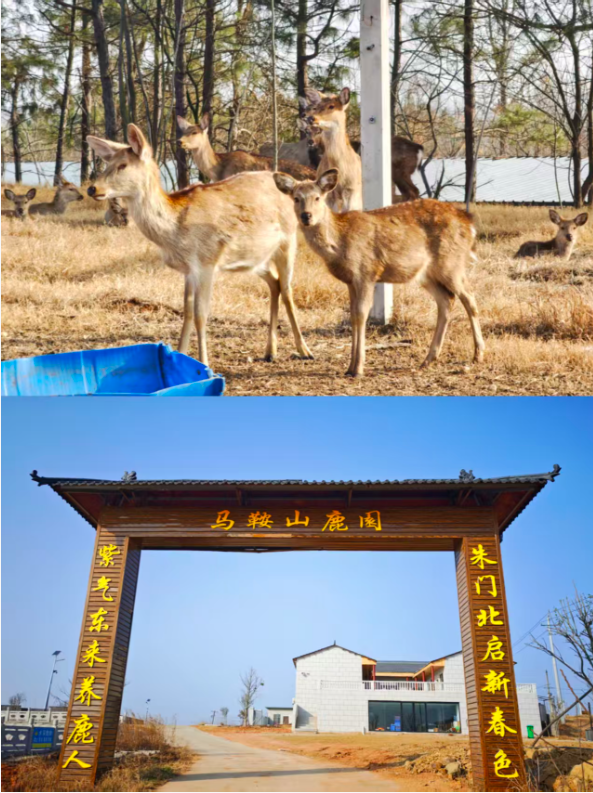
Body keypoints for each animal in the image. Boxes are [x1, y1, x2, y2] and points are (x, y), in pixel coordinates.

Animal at [87, 124, 313, 367]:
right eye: (107, 163)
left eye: (123, 165)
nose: (92, 189)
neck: (175, 231)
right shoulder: (188, 270)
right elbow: (186, 312)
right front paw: (180, 356)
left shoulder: (207, 261)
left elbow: (201, 314)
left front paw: (204, 364)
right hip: (254, 258)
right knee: (274, 283)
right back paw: (271, 350)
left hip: (288, 239)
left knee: (287, 288)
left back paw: (304, 349)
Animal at [273, 168, 485, 377]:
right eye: (296, 198)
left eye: (317, 197)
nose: (306, 216)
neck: (339, 243)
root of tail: (469, 223)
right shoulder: (350, 280)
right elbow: (352, 315)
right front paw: (349, 367)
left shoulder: (366, 271)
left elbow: (361, 314)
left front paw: (358, 368)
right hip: (427, 274)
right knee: (446, 300)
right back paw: (428, 359)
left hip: (452, 264)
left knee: (470, 299)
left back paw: (477, 355)